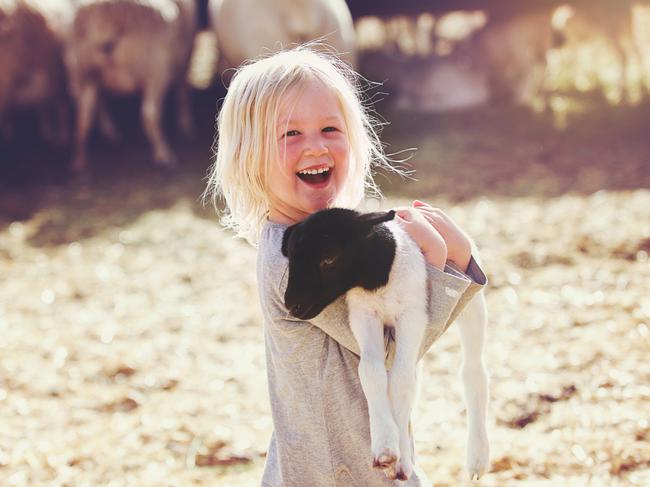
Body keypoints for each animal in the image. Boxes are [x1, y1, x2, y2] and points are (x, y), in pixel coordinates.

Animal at [65, 0, 197, 174]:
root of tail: (103, 23)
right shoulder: (182, 62)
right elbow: (183, 92)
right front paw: (186, 125)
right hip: (155, 71)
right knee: (150, 114)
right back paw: (163, 154)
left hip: (85, 74)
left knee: (83, 118)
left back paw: (80, 160)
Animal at [280, 208, 488, 482]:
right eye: (290, 258)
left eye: (329, 258)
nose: (291, 305)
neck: (378, 281)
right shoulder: (363, 314)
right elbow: (371, 372)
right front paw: (387, 447)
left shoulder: (413, 314)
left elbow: (401, 379)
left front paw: (398, 459)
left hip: (472, 307)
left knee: (473, 371)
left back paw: (478, 457)